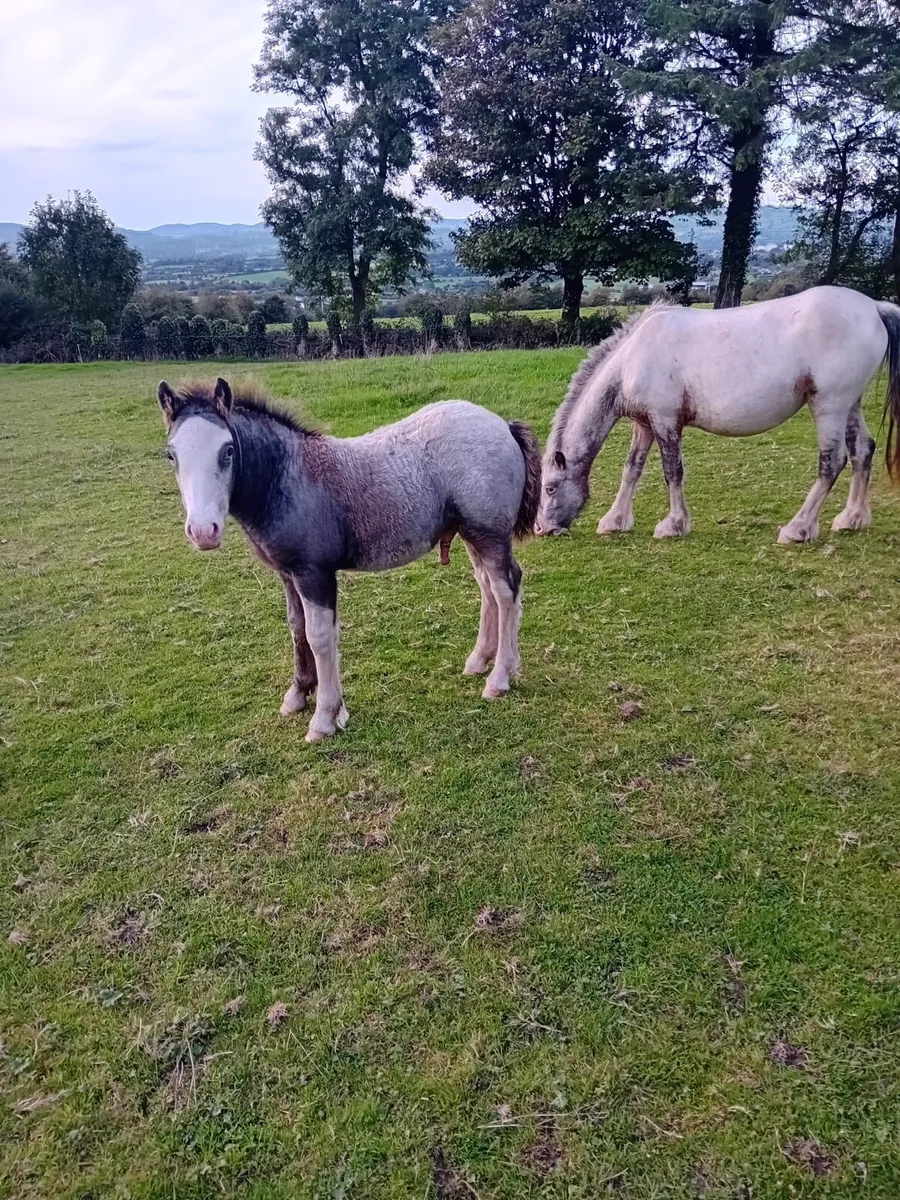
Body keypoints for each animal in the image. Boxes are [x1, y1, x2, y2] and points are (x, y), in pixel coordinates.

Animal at [155, 378, 541, 741]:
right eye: (171, 455)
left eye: (229, 451)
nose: (203, 531)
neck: (289, 478)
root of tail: (503, 425)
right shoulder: (288, 574)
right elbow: (297, 628)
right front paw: (298, 696)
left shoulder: (314, 572)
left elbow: (320, 636)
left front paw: (325, 717)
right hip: (471, 534)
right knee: (487, 588)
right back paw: (478, 661)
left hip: (489, 534)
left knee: (506, 590)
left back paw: (500, 677)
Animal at [535, 286, 900, 544]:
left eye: (550, 488)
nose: (542, 529)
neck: (632, 358)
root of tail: (873, 308)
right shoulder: (645, 424)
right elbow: (632, 469)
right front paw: (615, 521)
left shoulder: (666, 421)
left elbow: (672, 470)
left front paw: (674, 526)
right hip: (849, 404)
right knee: (863, 451)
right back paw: (851, 519)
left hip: (830, 405)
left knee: (832, 462)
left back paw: (797, 529)